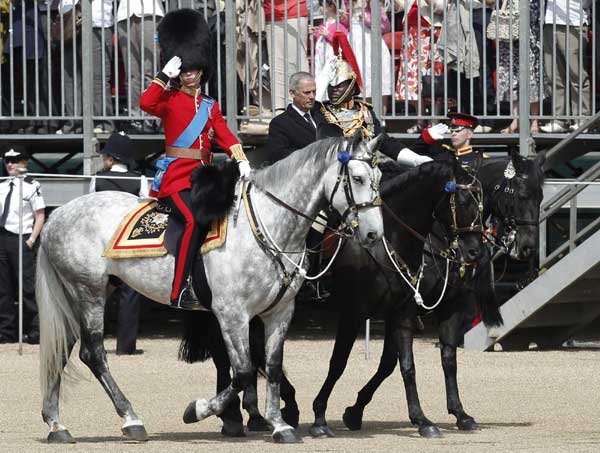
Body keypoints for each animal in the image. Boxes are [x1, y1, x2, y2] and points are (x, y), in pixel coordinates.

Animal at [340, 148, 548, 434]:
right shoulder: (404, 310)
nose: (528, 247)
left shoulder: (451, 305)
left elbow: (446, 359)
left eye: (540, 196)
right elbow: (397, 363)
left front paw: (460, 413)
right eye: (519, 193)